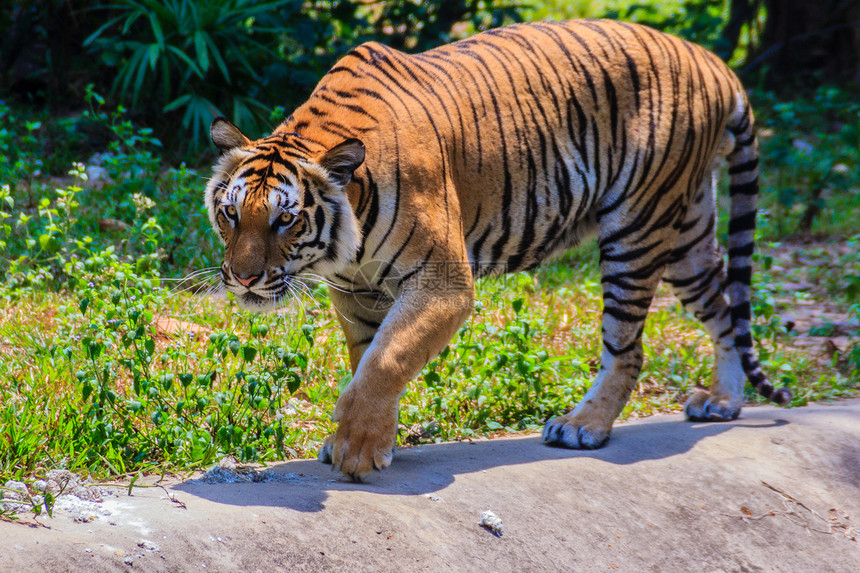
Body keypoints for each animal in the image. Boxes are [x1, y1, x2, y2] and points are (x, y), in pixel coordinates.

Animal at [203, 20, 792, 480]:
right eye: (231, 214)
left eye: (285, 219)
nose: (243, 278)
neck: (350, 239)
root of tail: (711, 60)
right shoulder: (359, 294)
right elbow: (368, 358)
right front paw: (372, 439)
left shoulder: (443, 283)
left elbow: (389, 358)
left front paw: (356, 448)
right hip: (686, 236)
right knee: (723, 304)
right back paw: (724, 400)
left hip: (637, 229)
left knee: (627, 347)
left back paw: (583, 425)